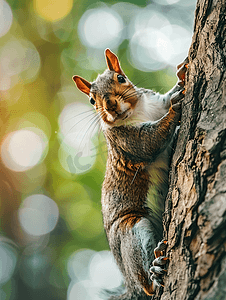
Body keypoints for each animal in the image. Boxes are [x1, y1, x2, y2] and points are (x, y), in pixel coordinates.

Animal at [72, 49, 187, 300]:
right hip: (130, 229)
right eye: (92, 100)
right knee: (145, 282)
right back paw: (156, 273)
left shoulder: (156, 102)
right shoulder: (126, 140)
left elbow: (167, 96)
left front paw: (182, 74)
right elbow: (149, 141)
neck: (138, 111)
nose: (110, 105)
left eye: (121, 78)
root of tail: (130, 286)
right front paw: (175, 110)